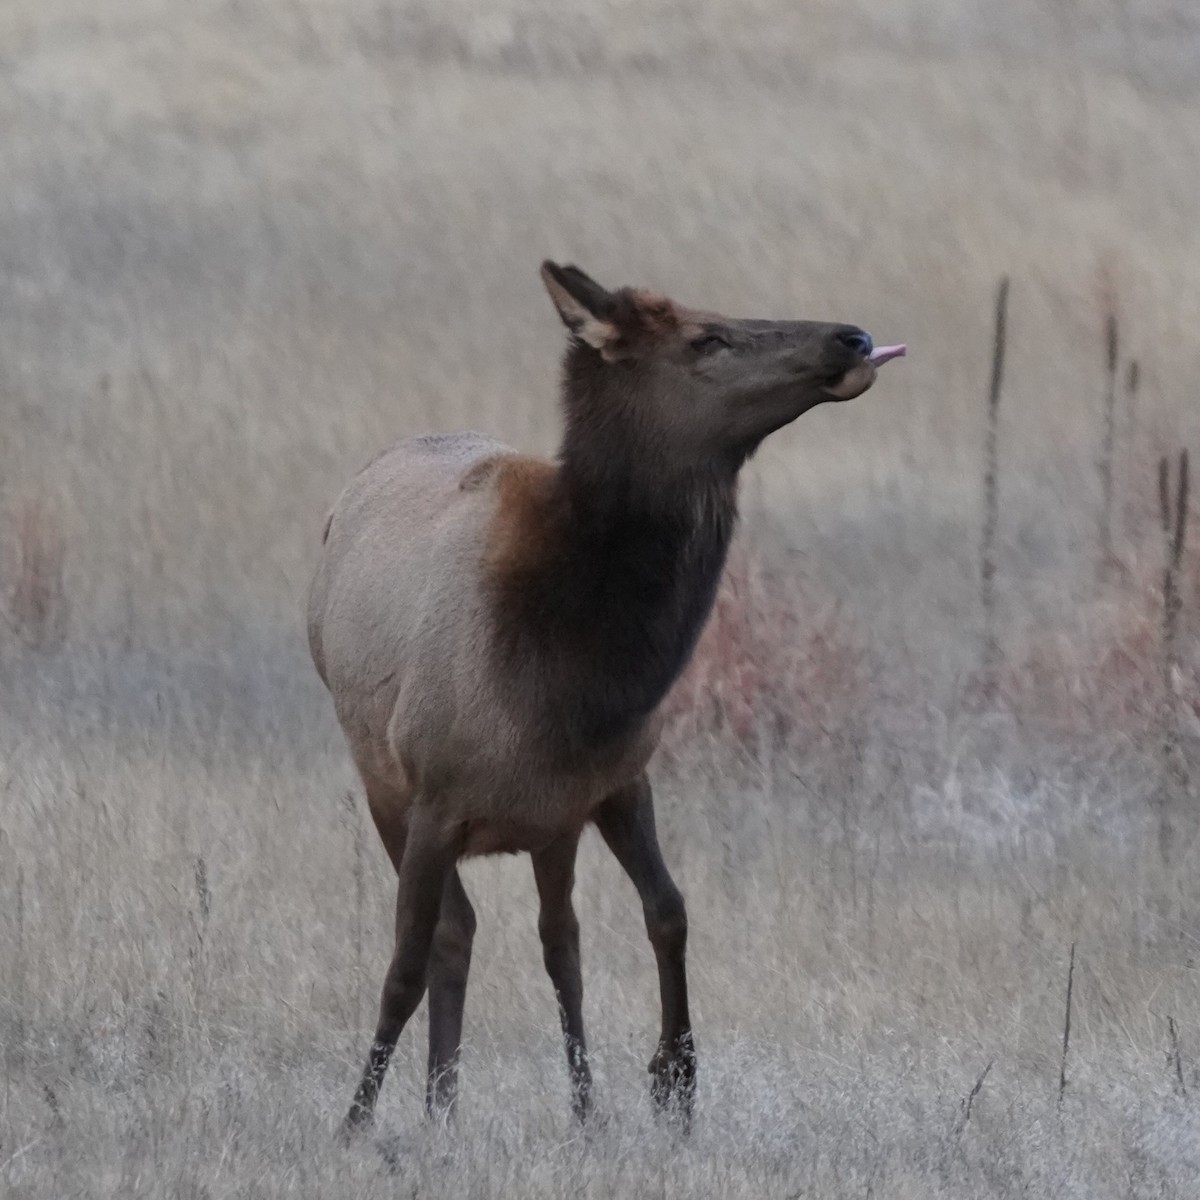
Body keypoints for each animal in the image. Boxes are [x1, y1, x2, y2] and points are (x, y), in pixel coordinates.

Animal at [307, 262, 905, 1135]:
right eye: (706, 338)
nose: (854, 337)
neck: (574, 678)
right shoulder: (431, 798)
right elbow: (404, 962)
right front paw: (354, 1122)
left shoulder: (608, 784)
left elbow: (664, 912)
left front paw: (668, 1084)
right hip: (381, 778)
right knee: (455, 933)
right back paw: (437, 1105)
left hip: (545, 830)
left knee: (552, 940)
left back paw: (485, 1106)